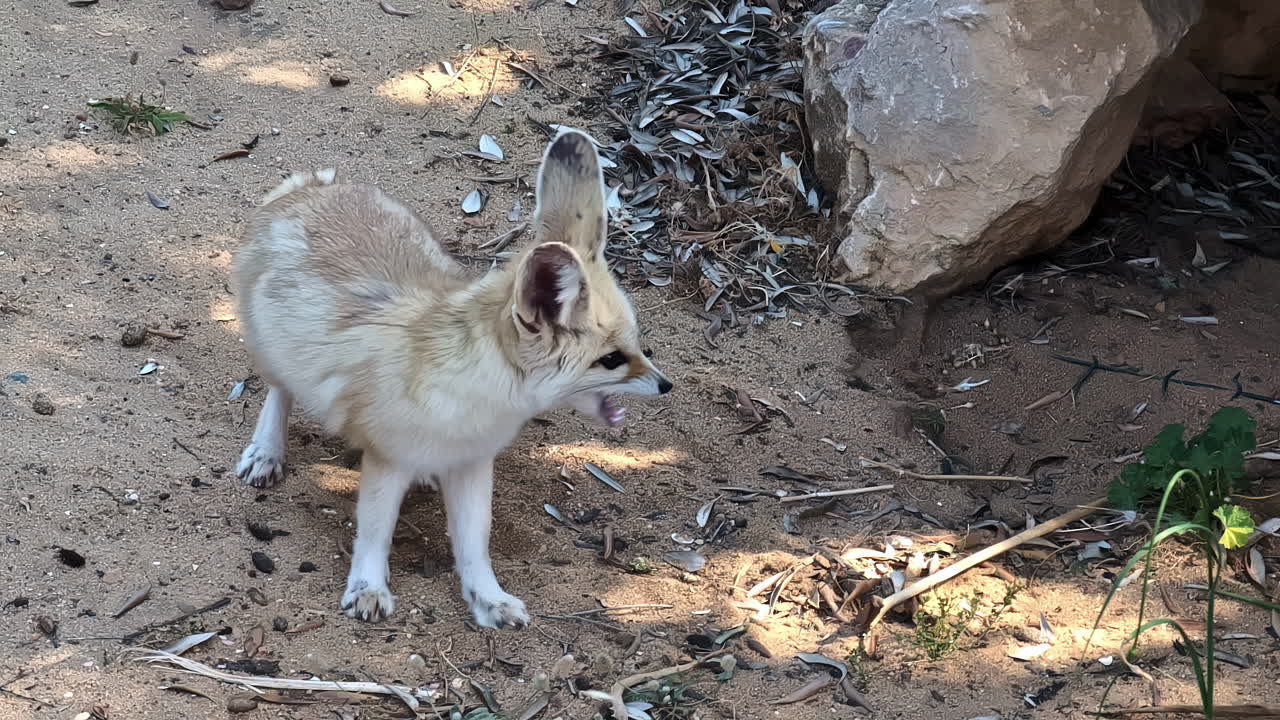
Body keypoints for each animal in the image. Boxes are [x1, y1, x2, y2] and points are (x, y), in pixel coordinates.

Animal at [230, 128, 672, 628]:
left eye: (638, 342)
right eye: (612, 359)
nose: (665, 385)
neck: (479, 387)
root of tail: (311, 186)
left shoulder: (472, 463)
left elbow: (474, 541)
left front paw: (489, 598)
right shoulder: (388, 461)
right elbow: (375, 533)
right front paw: (367, 588)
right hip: (273, 350)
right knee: (279, 392)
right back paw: (266, 452)